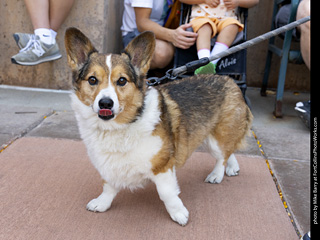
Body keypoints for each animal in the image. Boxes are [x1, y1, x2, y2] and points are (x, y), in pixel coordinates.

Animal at [64, 28, 252, 227]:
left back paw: (217, 175)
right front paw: (101, 203)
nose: (105, 103)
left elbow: (167, 193)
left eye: (122, 81)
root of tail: (230, 81)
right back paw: (232, 167)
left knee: (222, 155)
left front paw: (179, 214)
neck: (118, 127)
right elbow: (108, 186)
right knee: (229, 151)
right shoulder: (109, 167)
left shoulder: (162, 166)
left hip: (216, 139)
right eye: (92, 79)